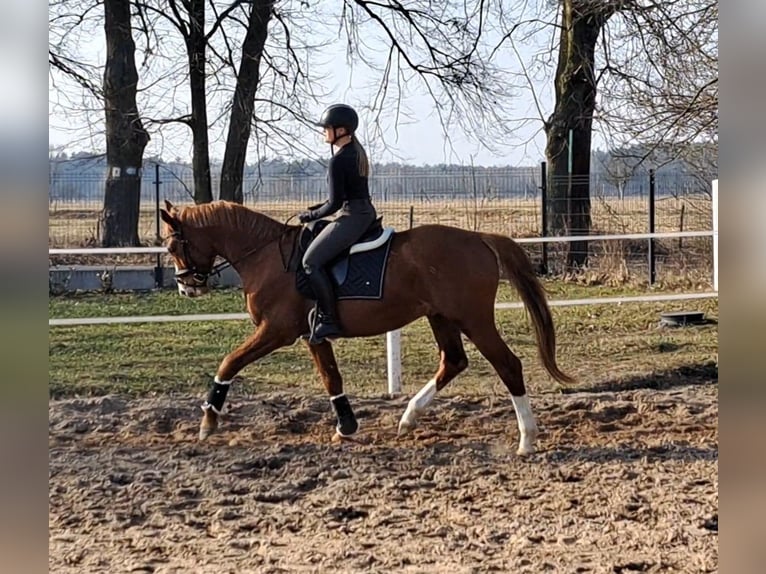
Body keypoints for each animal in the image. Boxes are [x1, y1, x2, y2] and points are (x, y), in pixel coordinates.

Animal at [160, 200, 576, 456]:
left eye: (172, 246)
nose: (186, 287)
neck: (265, 256)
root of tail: (478, 239)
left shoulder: (276, 330)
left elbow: (229, 363)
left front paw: (208, 422)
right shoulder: (312, 335)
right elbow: (331, 378)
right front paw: (346, 426)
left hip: (473, 319)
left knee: (508, 365)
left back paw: (526, 440)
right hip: (441, 317)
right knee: (453, 362)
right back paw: (408, 418)